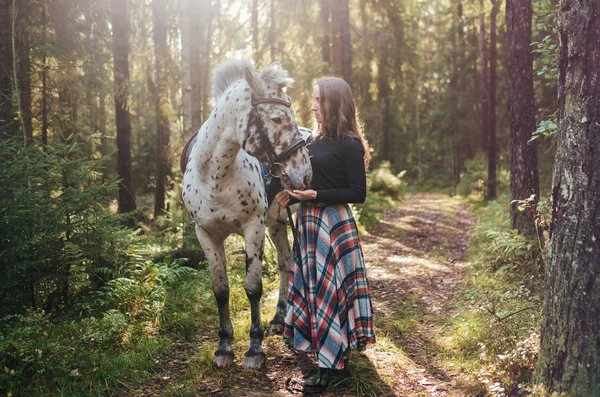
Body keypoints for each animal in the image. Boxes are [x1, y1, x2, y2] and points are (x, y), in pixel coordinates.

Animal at [179, 58, 312, 368]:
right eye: (277, 119)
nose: (305, 173)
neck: (215, 177)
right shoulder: (206, 234)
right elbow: (220, 289)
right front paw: (224, 346)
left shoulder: (254, 228)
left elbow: (253, 287)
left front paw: (254, 348)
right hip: (277, 224)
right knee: (285, 261)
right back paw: (278, 318)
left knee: (290, 263)